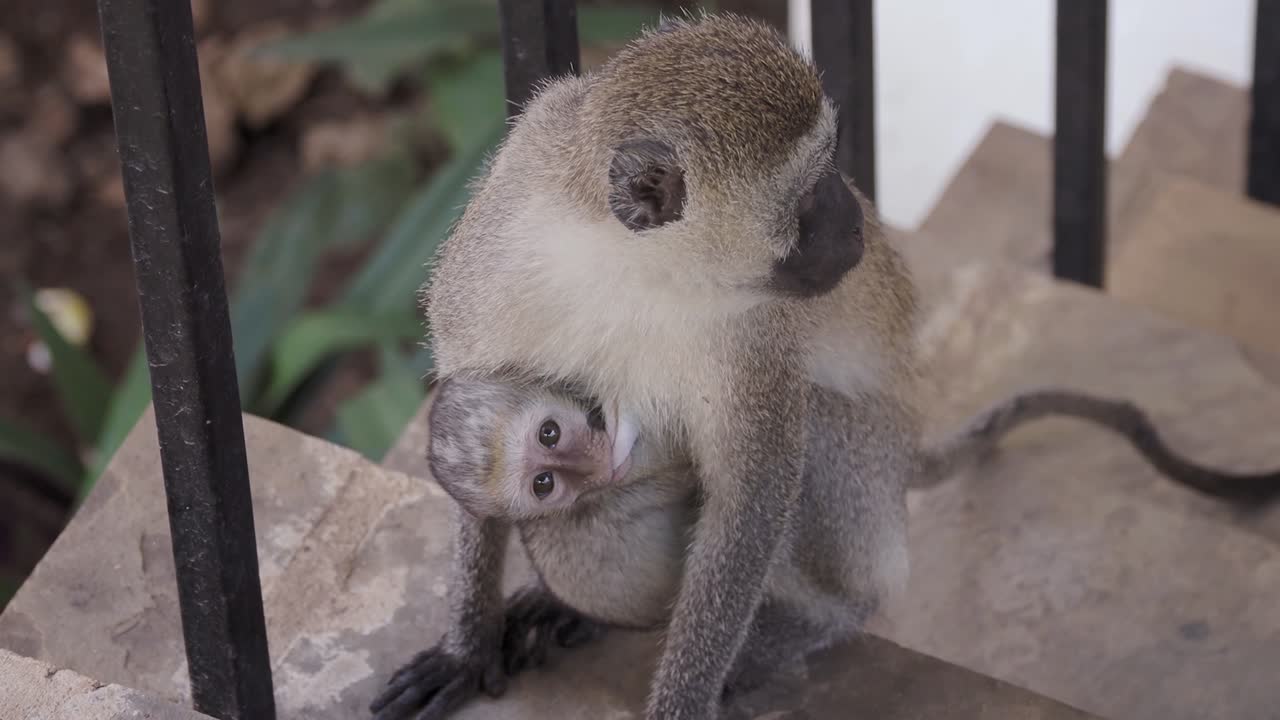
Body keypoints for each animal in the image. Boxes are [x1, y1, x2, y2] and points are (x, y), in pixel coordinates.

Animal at [369, 13, 1280, 720]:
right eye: (810, 195)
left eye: (836, 163)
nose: (854, 224)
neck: (618, 263)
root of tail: (907, 445)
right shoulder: (492, 254)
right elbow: (474, 421)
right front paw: (470, 641)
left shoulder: (750, 339)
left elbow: (757, 487)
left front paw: (681, 697)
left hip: (868, 482)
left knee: (815, 444)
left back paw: (814, 624)